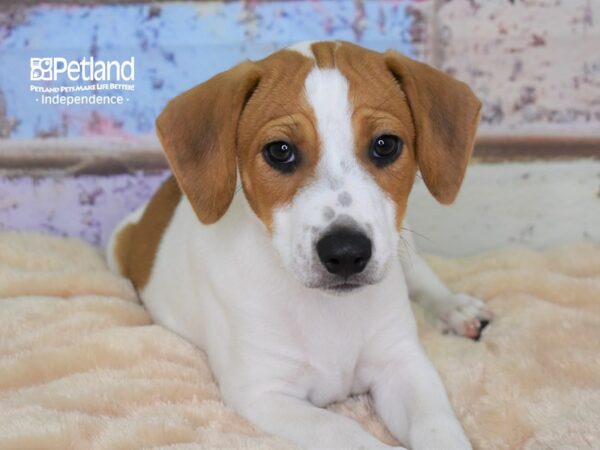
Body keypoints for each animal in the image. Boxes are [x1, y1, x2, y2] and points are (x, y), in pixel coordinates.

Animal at [108, 40, 492, 448]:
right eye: (280, 150)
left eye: (386, 145)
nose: (346, 253)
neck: (326, 310)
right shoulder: (264, 394)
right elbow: (346, 432)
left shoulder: (402, 364)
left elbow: (436, 426)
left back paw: (456, 309)